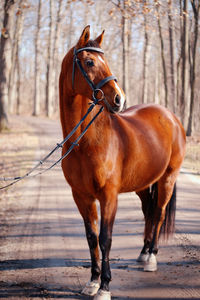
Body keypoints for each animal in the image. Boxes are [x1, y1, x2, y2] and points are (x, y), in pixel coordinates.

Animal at [59, 26, 186, 300]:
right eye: (89, 62)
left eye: (105, 60)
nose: (119, 99)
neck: (86, 142)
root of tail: (171, 117)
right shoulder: (81, 196)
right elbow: (91, 237)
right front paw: (92, 282)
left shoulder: (109, 196)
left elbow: (106, 238)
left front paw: (105, 287)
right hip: (143, 184)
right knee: (149, 211)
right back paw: (143, 253)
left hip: (167, 179)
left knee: (159, 213)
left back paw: (151, 258)